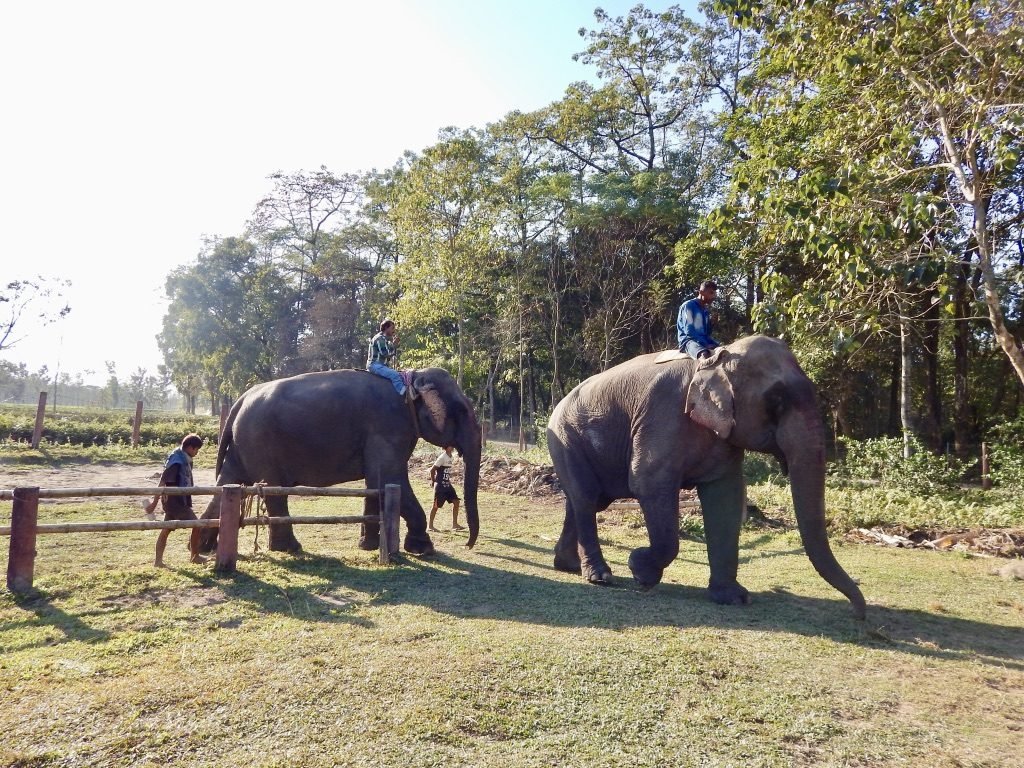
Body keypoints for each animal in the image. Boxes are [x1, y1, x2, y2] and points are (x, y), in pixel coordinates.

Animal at [198, 368, 479, 557]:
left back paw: (204, 548)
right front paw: (424, 549)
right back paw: (290, 549)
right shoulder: (387, 428)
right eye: (462, 410)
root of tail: (239, 400)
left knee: (227, 484)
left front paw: (368, 547)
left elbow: (376, 482)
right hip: (260, 443)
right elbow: (389, 478)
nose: (467, 545)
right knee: (275, 492)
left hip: (242, 446)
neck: (409, 380)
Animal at [548, 335, 868, 618]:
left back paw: (568, 565)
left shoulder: (724, 437)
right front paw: (639, 570)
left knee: (583, 501)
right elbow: (648, 483)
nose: (858, 614)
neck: (717, 359)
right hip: (566, 438)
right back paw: (600, 577)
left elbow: (725, 497)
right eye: (776, 402)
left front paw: (735, 598)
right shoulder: (662, 417)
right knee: (586, 498)